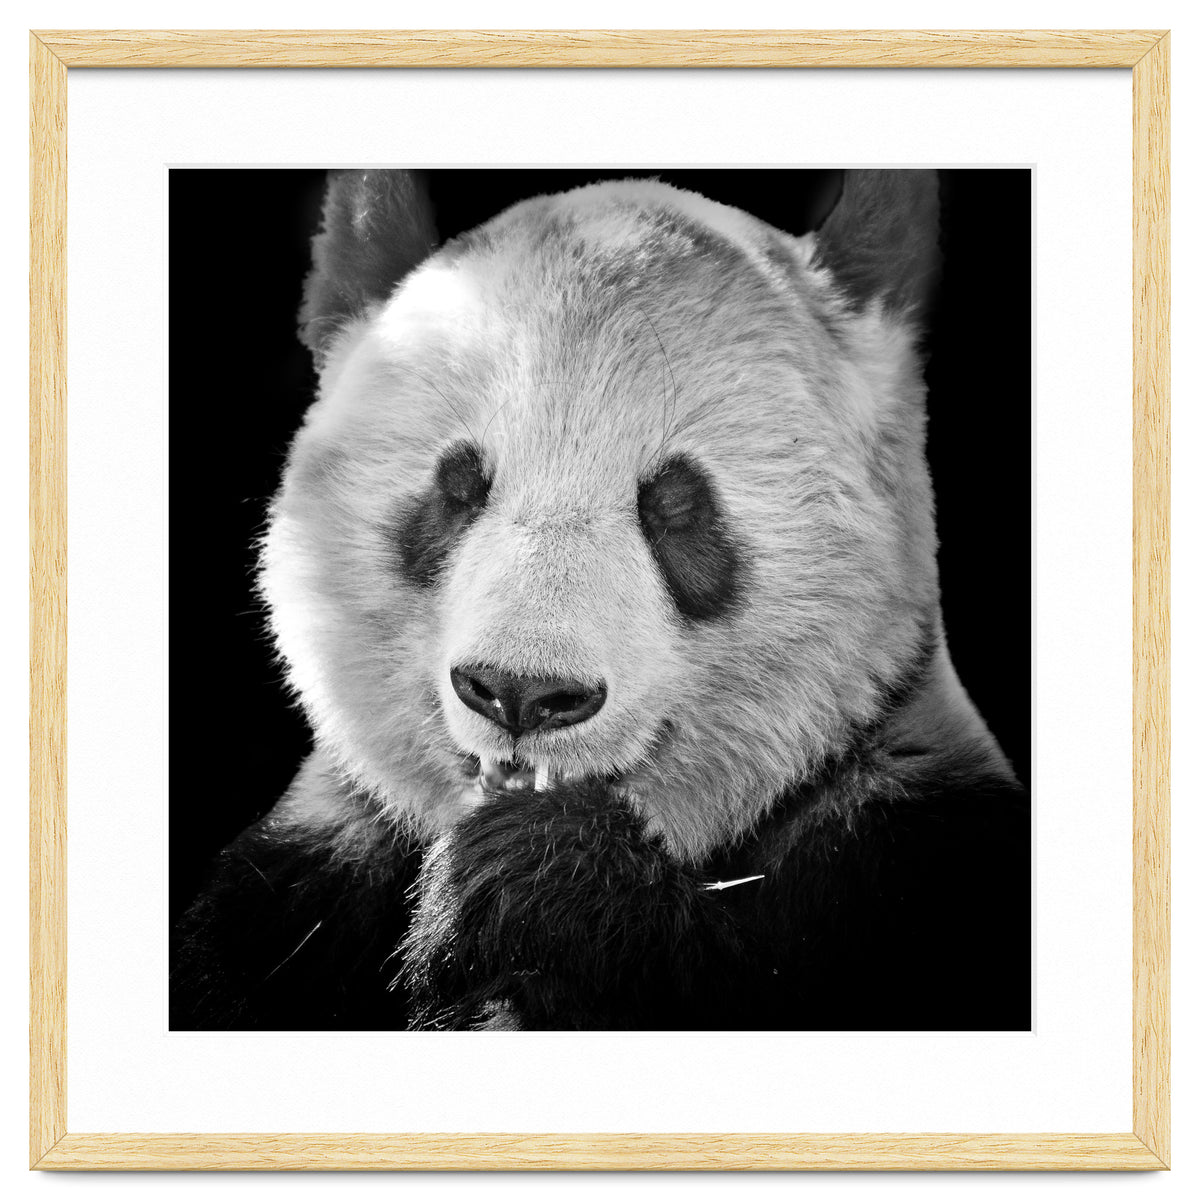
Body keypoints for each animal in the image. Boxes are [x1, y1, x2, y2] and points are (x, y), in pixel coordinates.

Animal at [172, 169, 1030, 1033]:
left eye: (676, 505)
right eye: (458, 487)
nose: (521, 692)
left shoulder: (904, 854)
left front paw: (538, 878)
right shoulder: (295, 889)